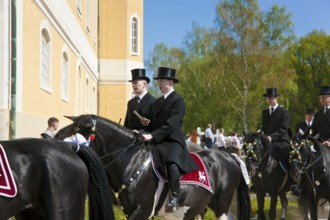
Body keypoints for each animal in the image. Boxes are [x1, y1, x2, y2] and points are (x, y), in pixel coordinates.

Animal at [55, 115, 250, 220]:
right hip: (200, 207)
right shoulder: (130, 211)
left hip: (222, 206)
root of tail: (229, 156)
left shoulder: (142, 210)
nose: (56, 137)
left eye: (78, 129)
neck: (132, 161)